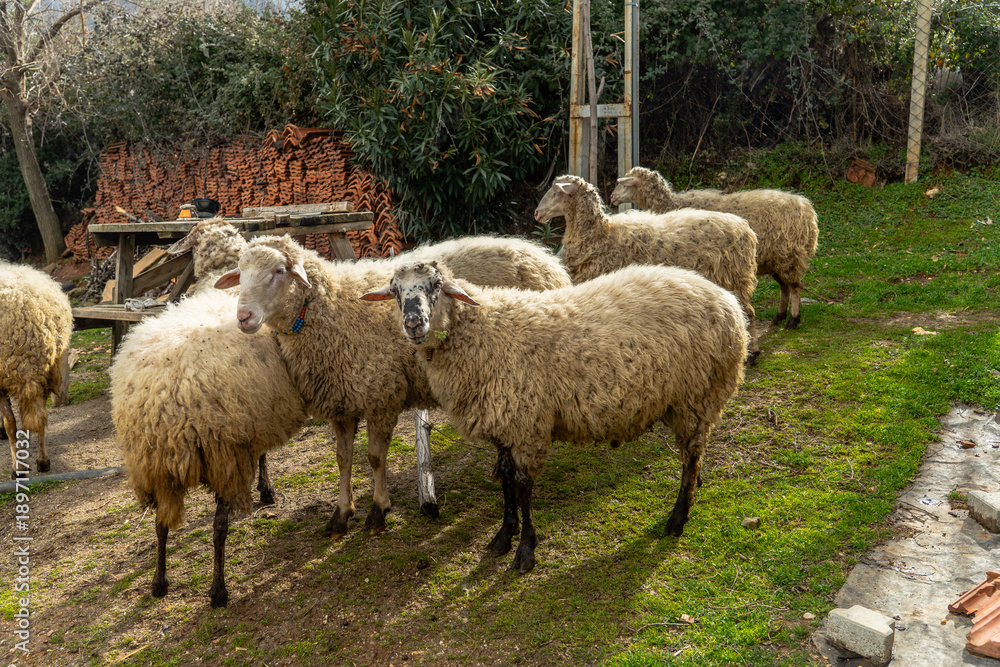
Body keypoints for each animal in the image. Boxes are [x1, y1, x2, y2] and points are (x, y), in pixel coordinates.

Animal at [109, 288, 306, 608]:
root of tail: (171, 397)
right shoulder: (239, 442)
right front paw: (266, 490)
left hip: (156, 465)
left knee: (161, 523)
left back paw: (159, 582)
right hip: (221, 454)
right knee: (218, 525)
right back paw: (218, 589)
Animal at [216, 234, 572, 538]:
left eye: (278, 271)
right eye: (241, 273)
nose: (244, 317)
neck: (329, 308)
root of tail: (547, 260)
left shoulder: (381, 395)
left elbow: (375, 457)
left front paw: (378, 511)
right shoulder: (341, 403)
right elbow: (343, 459)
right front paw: (341, 514)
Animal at [361, 260, 748, 572]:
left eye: (436, 285)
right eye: (395, 290)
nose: (414, 324)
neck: (482, 333)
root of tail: (725, 298)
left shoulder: (526, 425)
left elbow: (523, 487)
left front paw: (525, 550)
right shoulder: (502, 425)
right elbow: (504, 479)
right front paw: (504, 535)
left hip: (697, 394)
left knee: (692, 453)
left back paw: (678, 517)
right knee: (692, 454)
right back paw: (695, 488)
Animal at [535, 174, 761, 364]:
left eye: (557, 192)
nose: (536, 213)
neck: (600, 235)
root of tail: (745, 229)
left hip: (735, 278)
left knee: (748, 313)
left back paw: (752, 352)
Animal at [610, 166, 819, 329]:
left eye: (625, 184)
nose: (611, 197)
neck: (672, 204)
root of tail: (806, 208)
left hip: (788, 254)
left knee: (795, 287)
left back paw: (793, 320)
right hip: (775, 258)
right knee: (785, 286)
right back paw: (779, 316)